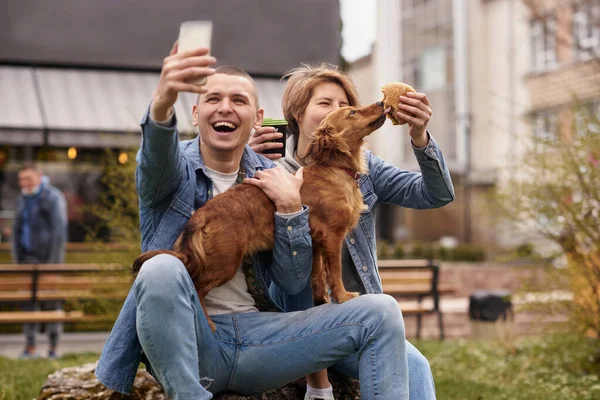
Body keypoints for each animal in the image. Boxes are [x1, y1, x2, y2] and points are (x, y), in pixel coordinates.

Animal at [133, 101, 386, 332]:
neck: (333, 169)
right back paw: (207, 324)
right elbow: (334, 271)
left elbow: (317, 273)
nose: (381, 103)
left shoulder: (314, 241)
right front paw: (343, 297)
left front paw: (321, 299)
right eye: (352, 112)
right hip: (225, 261)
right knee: (197, 286)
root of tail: (203, 214)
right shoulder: (332, 236)